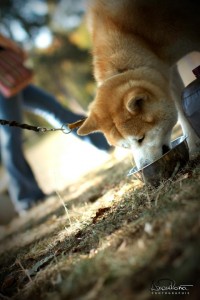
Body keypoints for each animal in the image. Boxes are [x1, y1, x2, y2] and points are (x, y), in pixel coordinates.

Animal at [77, 0, 200, 169]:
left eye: (140, 138)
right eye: (125, 147)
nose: (143, 167)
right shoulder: (164, 73)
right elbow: (182, 113)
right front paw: (194, 148)